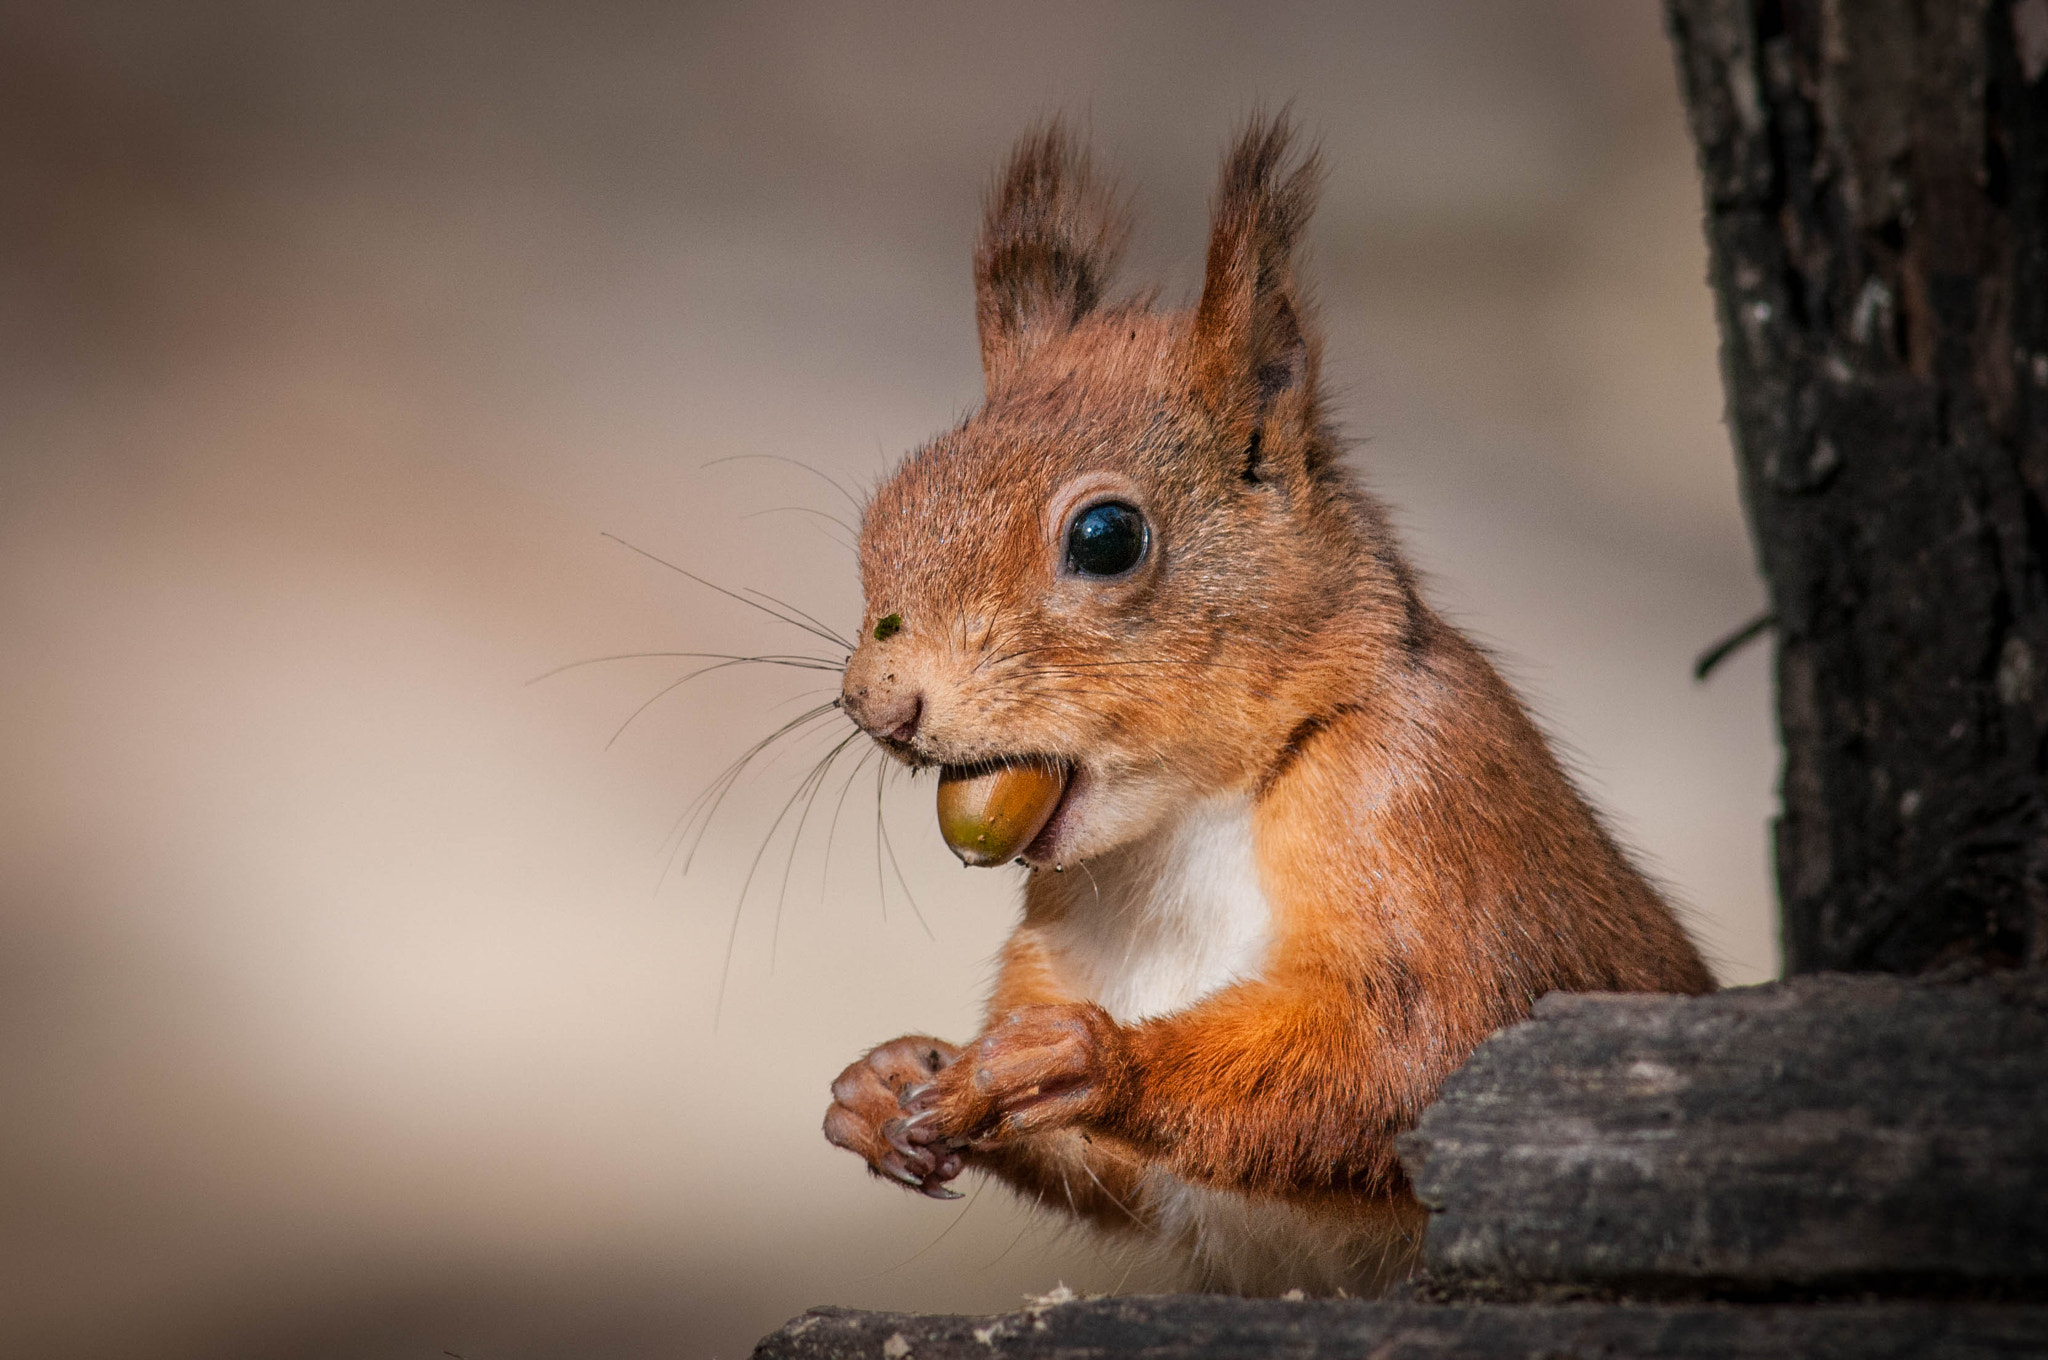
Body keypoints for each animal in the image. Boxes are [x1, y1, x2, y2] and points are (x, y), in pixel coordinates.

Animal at [815, 119, 1712, 1294]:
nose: (878, 703)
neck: (1186, 824)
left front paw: (1090, 1058)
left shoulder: (1424, 813)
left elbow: (1421, 1060)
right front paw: (886, 1084)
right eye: (886, 508)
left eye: (1106, 537)